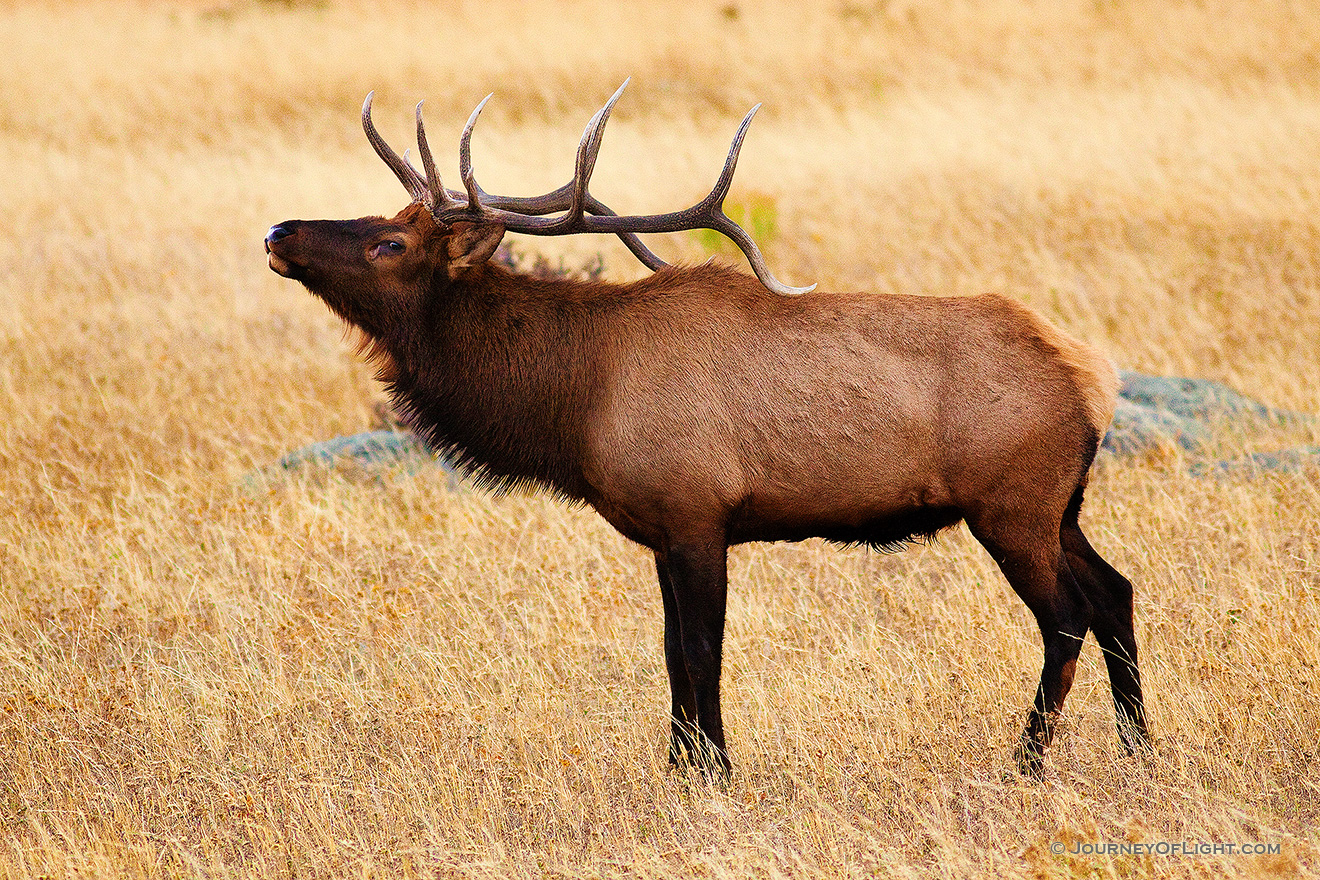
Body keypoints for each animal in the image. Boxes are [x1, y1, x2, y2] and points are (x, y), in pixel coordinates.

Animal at [265, 79, 1145, 775]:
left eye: (389, 242)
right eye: (381, 214)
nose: (278, 231)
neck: (576, 397)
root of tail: (1091, 375)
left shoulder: (697, 514)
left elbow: (701, 652)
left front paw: (715, 772)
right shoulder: (659, 529)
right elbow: (668, 656)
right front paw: (678, 768)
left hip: (1011, 503)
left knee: (1065, 616)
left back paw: (1026, 759)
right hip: (1062, 504)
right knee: (1116, 590)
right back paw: (1140, 742)